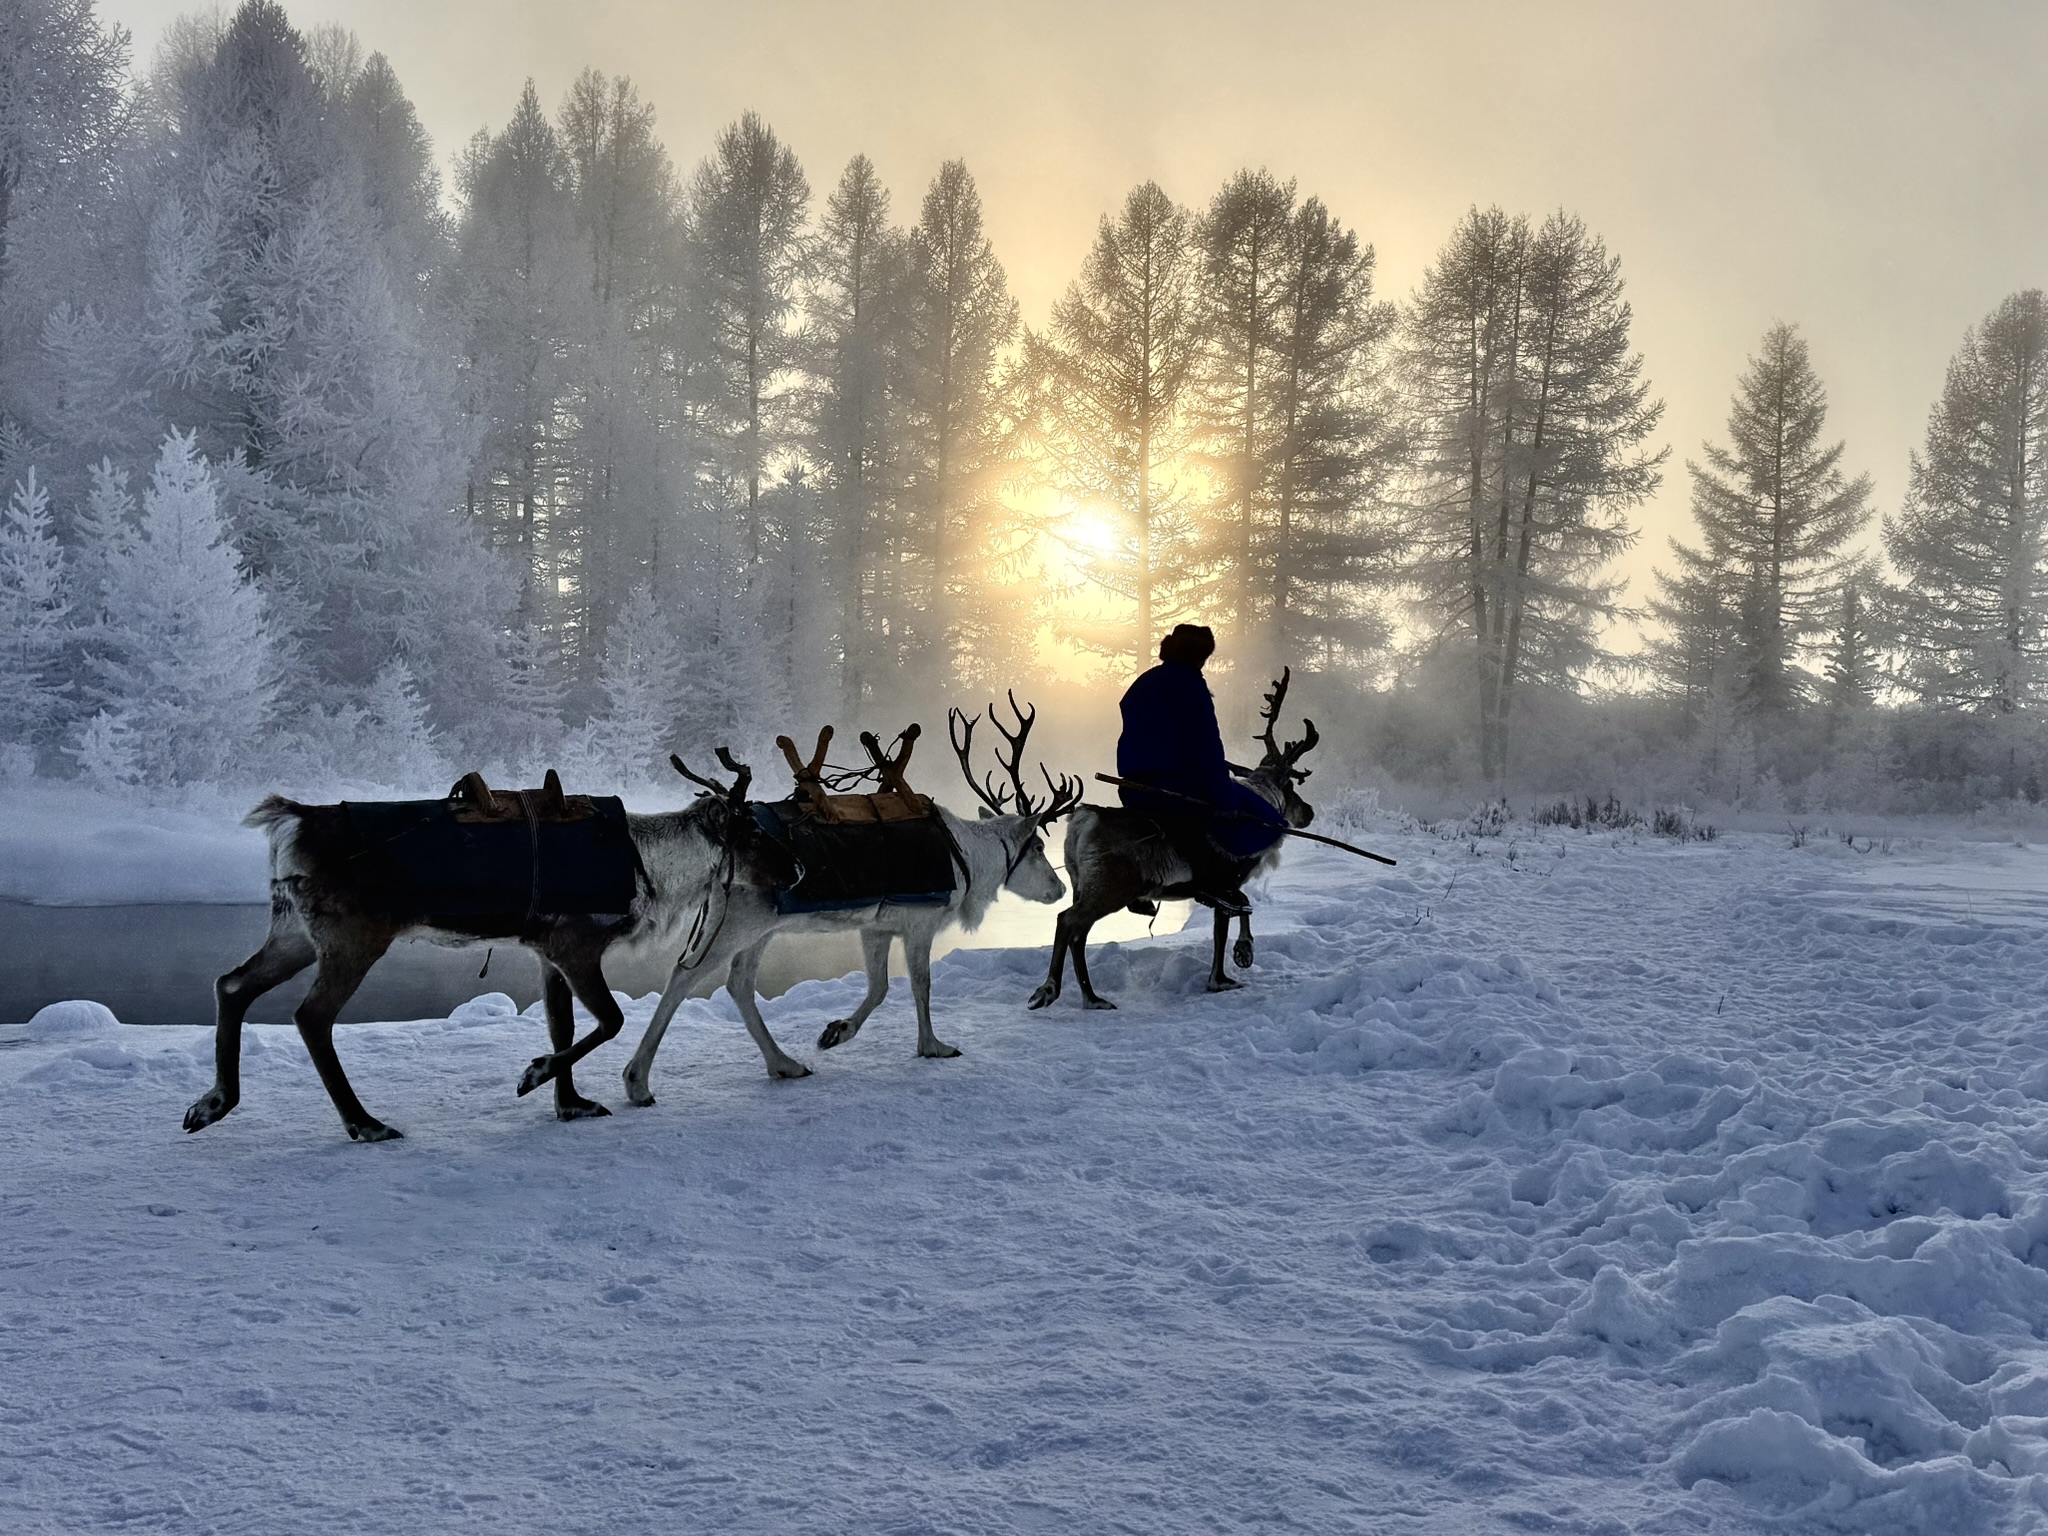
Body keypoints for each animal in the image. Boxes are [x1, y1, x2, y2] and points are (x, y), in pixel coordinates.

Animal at [181, 759, 786, 1142]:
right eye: (754, 831)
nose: (797, 872)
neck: (651, 870)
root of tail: (293, 819)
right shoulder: (576, 944)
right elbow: (609, 1021)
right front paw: (533, 1075)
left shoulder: (547, 952)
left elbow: (564, 1026)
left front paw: (570, 1104)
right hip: (352, 939)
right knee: (311, 1015)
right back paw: (364, 1123)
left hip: (294, 933)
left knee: (231, 984)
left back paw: (212, 1104)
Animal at [619, 697, 1082, 1108]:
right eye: (1038, 846)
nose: (1059, 890)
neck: (968, 862)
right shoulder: (921, 921)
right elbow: (921, 985)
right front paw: (932, 1045)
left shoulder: (877, 926)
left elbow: (879, 986)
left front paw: (836, 1031)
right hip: (738, 921)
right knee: (684, 975)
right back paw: (637, 1081)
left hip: (759, 926)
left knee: (738, 983)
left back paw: (784, 1063)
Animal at [1029, 669, 1320, 1012]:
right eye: (1290, 787)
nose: (1309, 812)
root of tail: (1084, 819)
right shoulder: (1227, 881)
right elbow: (1234, 918)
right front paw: (1236, 961)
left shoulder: (1217, 888)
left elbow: (1225, 924)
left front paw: (1225, 971)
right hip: (1110, 887)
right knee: (1067, 921)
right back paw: (1051, 990)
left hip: (1081, 884)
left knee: (1078, 932)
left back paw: (1091, 997)